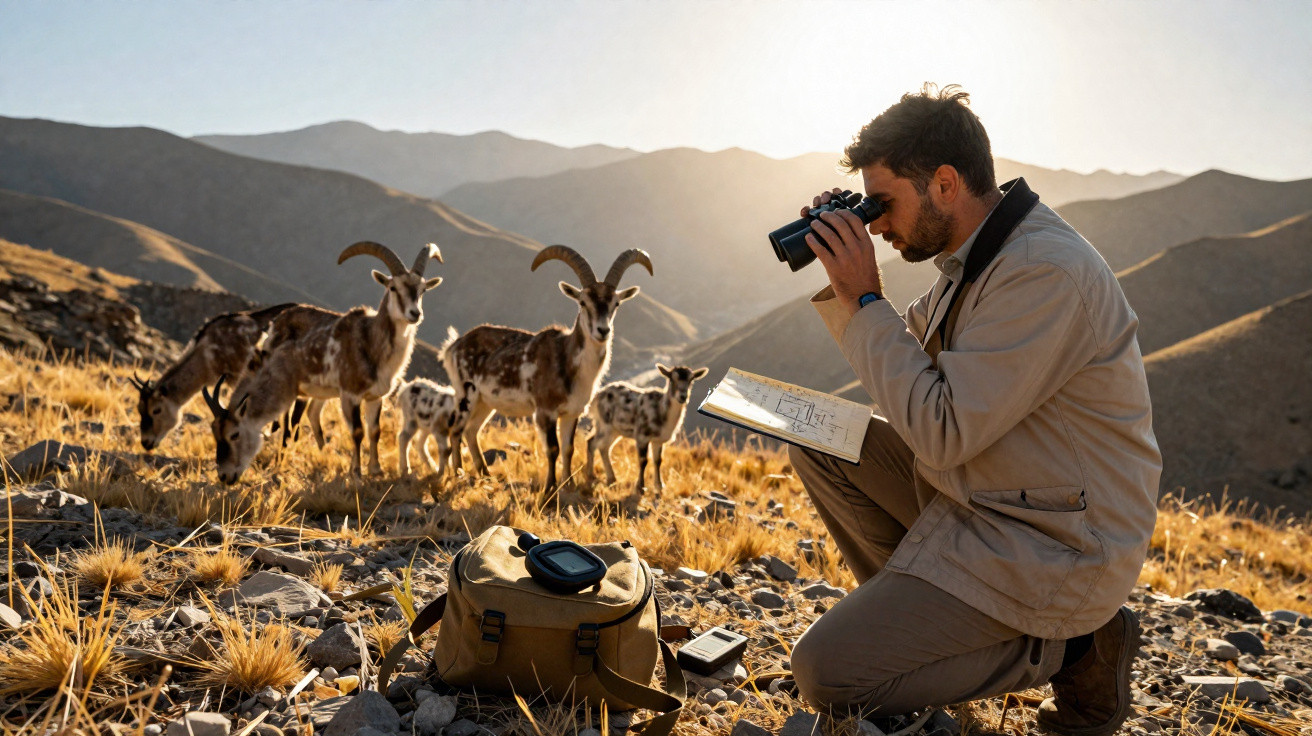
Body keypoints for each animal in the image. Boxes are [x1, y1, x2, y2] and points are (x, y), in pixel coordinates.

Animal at [203, 241, 442, 483]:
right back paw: (283, 457)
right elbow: (357, 432)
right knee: (288, 422)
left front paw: (376, 470)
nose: (414, 313)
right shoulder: (350, 394)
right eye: (393, 287)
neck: (370, 342)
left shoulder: (375, 396)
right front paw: (356, 473)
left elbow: (375, 431)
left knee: (305, 416)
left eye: (422, 289)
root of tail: (280, 318)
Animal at [442, 246, 652, 492]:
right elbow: (553, 448)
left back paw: (485, 474)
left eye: (616, 304)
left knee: (471, 429)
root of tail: (454, 345)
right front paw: (550, 487)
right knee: (456, 429)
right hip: (466, 393)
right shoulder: (545, 410)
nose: (602, 331)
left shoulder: (572, 412)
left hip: (486, 402)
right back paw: (457, 473)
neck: (567, 362)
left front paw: (568, 483)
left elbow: (569, 448)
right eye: (583, 302)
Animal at [584, 364, 708, 494]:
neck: (662, 414)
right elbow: (643, 460)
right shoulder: (642, 435)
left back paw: (611, 479)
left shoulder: (658, 440)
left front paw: (659, 486)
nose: (683, 396)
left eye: (691, 380)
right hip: (605, 424)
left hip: (614, 429)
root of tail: (595, 398)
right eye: (671, 379)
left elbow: (658, 460)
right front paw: (640, 487)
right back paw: (591, 475)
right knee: (592, 442)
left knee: (603, 447)